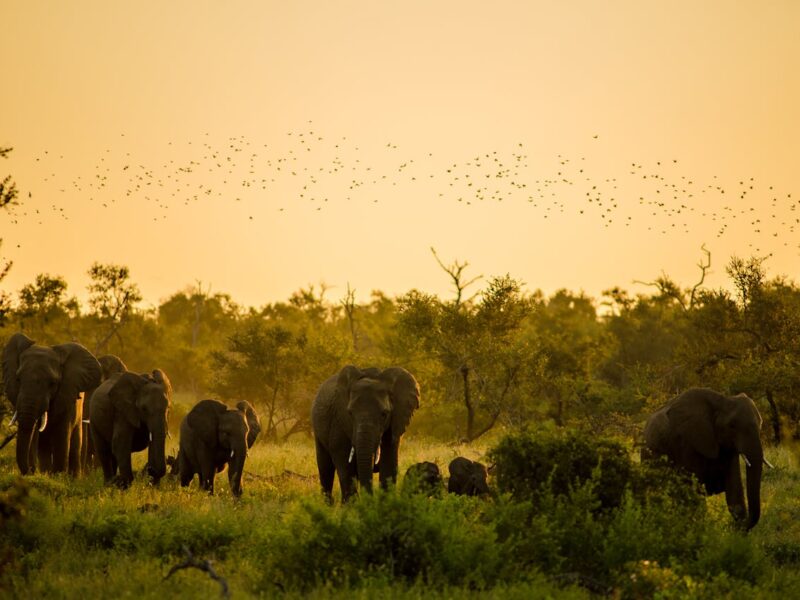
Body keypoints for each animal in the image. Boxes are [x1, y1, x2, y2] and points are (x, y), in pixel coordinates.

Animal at [2, 332, 101, 476]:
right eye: (18, 379)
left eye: (52, 383)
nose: (30, 471)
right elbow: (35, 437)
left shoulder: (66, 396)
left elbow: (61, 435)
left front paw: (59, 476)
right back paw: (47, 472)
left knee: (74, 445)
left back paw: (72, 477)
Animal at [311, 365, 420, 501]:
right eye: (350, 413)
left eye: (384, 414)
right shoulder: (338, 421)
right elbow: (345, 467)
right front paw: (353, 506)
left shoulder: (394, 423)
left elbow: (388, 465)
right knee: (326, 469)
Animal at [643, 387, 771, 530]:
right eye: (732, 426)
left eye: (761, 423)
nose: (734, 527)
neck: (722, 401)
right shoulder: (687, 443)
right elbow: (694, 493)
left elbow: (734, 490)